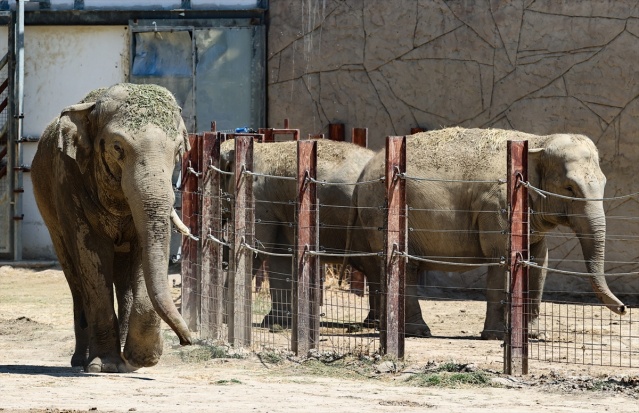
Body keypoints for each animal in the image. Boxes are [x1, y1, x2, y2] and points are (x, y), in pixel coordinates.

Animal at [31, 82, 192, 372]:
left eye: (177, 152)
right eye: (118, 147)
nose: (187, 341)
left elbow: (140, 255)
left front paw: (141, 360)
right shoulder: (68, 178)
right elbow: (92, 255)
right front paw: (103, 365)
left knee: (123, 279)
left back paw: (125, 362)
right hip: (50, 217)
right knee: (75, 277)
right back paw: (81, 361)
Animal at [220, 138, 376, 326]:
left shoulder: (256, 196)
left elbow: (257, 248)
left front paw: (225, 319)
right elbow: (280, 254)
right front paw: (276, 322)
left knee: (373, 267)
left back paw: (372, 323)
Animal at [348, 128, 628, 338]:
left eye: (604, 183)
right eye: (569, 188)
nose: (624, 309)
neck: (537, 141)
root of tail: (364, 169)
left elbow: (539, 263)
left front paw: (535, 335)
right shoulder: (498, 206)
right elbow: (501, 260)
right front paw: (497, 336)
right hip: (382, 210)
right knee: (402, 265)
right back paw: (417, 332)